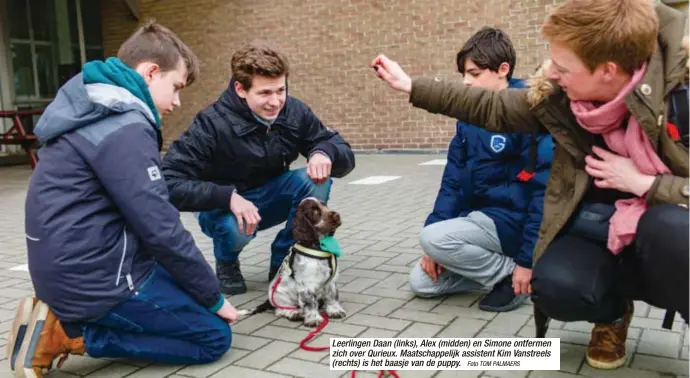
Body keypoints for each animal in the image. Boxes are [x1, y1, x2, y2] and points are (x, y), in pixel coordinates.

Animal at [238, 198, 346, 328]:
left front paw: (335, 310)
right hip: (280, 297)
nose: (337, 215)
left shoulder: (331, 280)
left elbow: (332, 296)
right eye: (314, 211)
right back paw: (294, 313)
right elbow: (310, 303)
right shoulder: (306, 284)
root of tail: (268, 301)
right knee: (279, 310)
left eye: (325, 205)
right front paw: (313, 319)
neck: (318, 247)